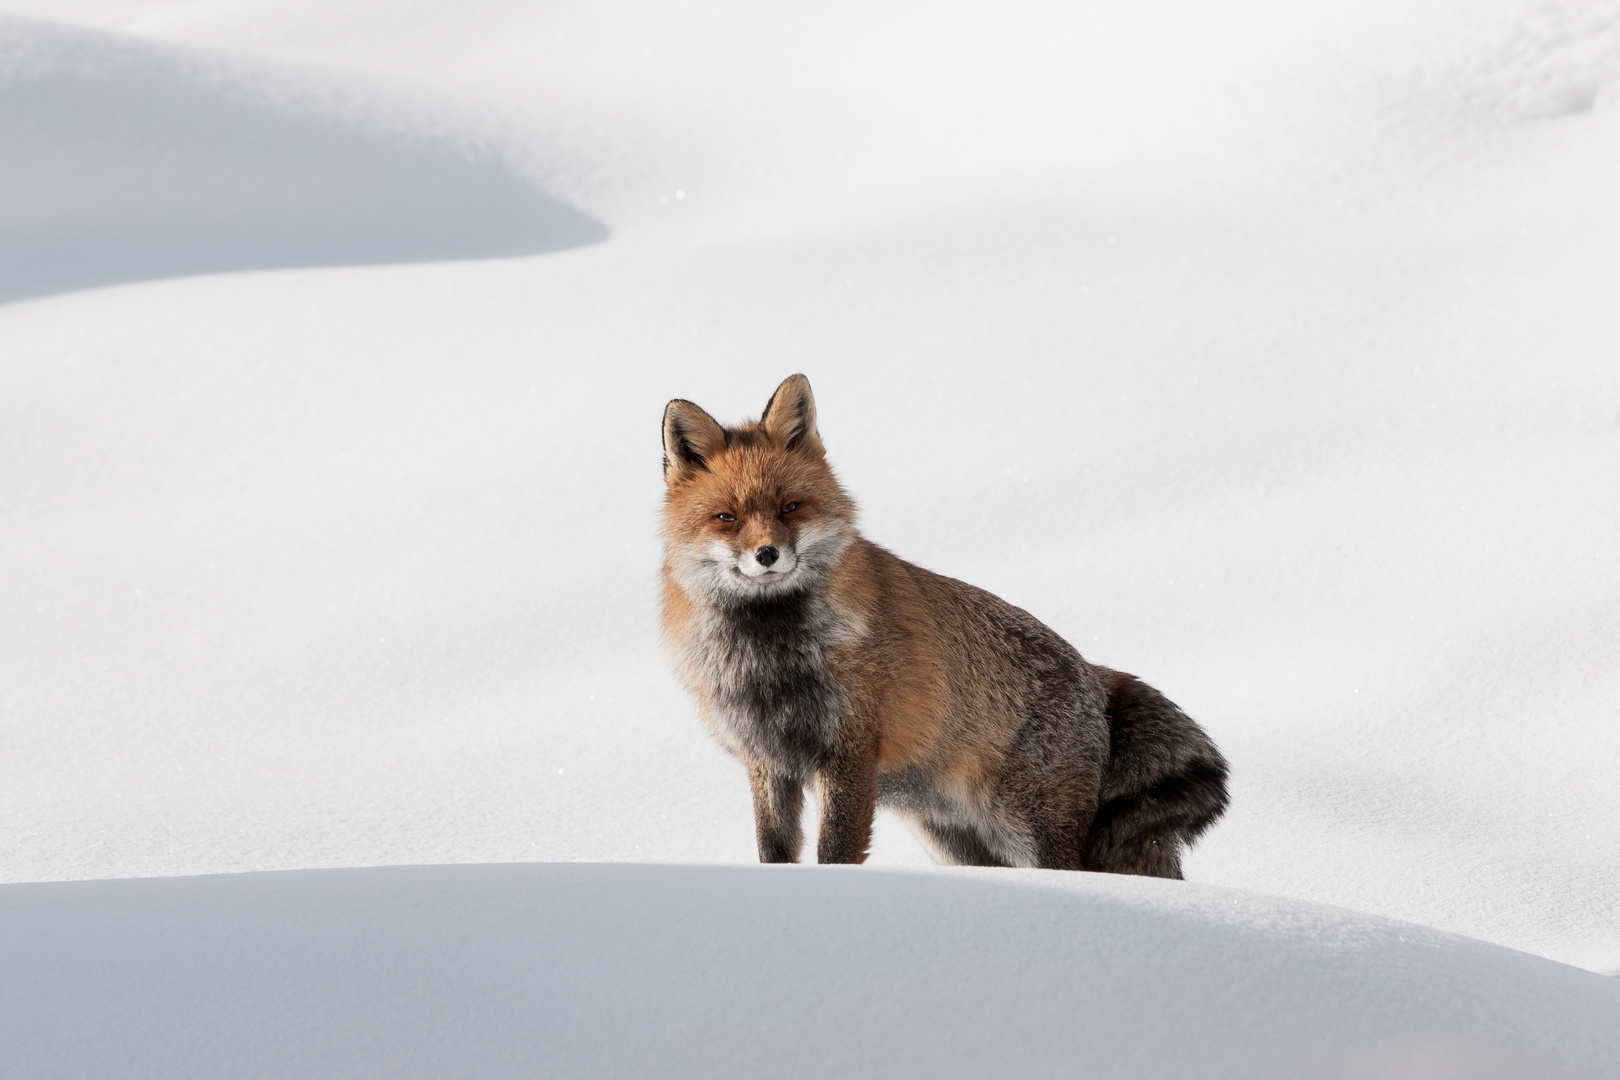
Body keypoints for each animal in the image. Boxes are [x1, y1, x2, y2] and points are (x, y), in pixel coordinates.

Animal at [657, 375, 1224, 874]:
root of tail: (1096, 673)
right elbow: (774, 851)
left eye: (790, 507)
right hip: (955, 839)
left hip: (1028, 827)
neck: (771, 658)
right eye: (727, 517)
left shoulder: (850, 746)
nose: (767, 555)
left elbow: (836, 849)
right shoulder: (767, 760)